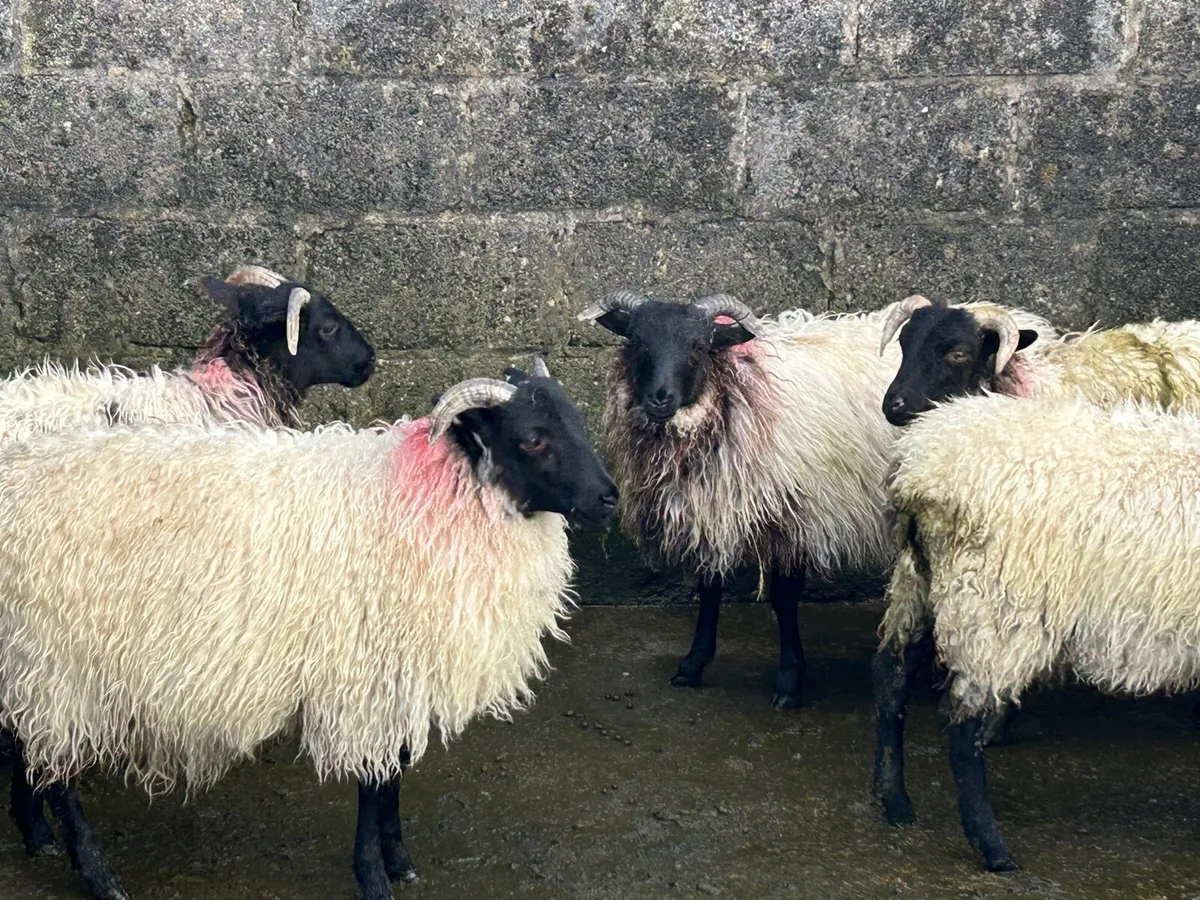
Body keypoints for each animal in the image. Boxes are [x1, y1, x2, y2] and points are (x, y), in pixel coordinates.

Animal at [0, 358, 617, 900]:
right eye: (533, 438)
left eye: (577, 423)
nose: (609, 497)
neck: (430, 498)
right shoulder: (368, 675)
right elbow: (374, 784)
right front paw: (374, 877)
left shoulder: (397, 672)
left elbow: (394, 775)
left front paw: (400, 861)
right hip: (57, 660)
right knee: (58, 774)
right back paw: (97, 874)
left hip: (27, 656)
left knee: (21, 741)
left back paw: (36, 836)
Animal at [579, 289, 901, 708]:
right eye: (637, 342)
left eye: (698, 346)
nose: (659, 399)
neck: (738, 390)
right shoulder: (708, 506)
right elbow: (709, 588)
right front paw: (692, 665)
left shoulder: (792, 514)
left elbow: (783, 598)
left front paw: (789, 681)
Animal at [873, 392, 1200, 871]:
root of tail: (916, 469)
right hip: (995, 601)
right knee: (961, 721)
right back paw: (992, 849)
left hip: (920, 583)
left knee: (892, 678)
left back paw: (894, 802)